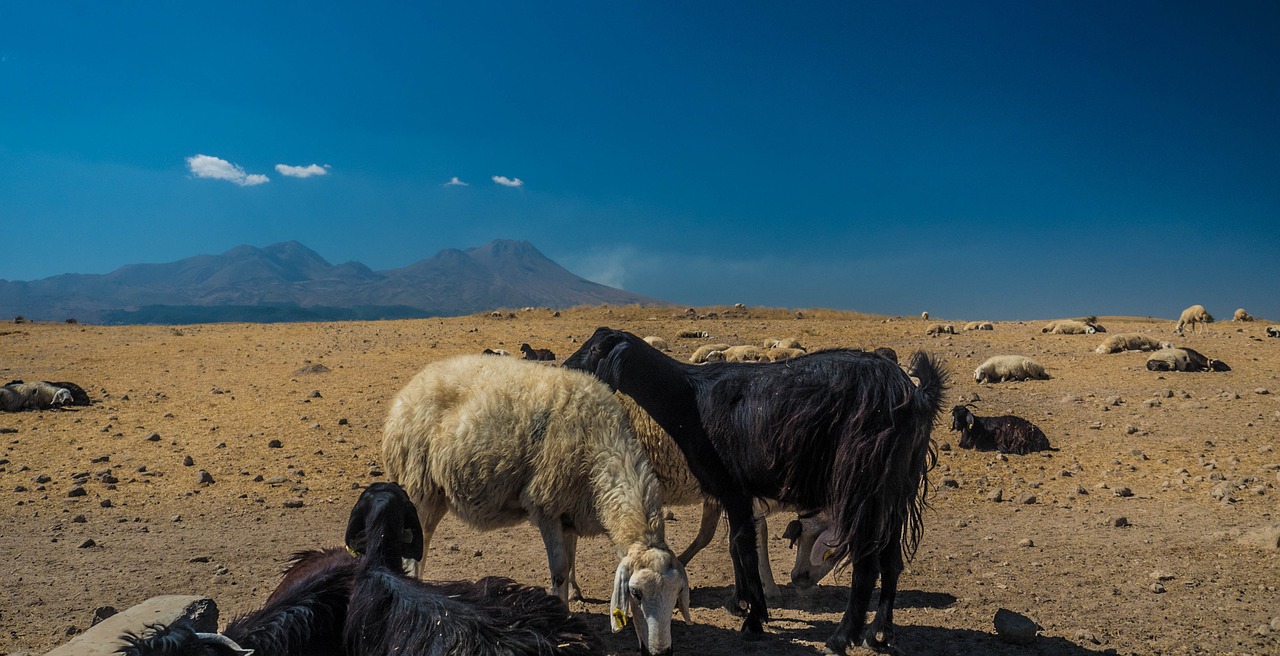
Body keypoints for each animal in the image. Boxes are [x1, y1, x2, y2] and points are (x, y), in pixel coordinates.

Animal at [381, 353, 691, 656]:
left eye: (677, 594)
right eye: (635, 593)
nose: (661, 652)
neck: (601, 447)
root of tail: (407, 391)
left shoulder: (570, 512)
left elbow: (571, 560)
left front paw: (573, 595)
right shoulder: (546, 506)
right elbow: (559, 569)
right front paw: (563, 615)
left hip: (434, 494)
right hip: (418, 486)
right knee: (413, 556)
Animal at [565, 325, 947, 653]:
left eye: (596, 349)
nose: (566, 368)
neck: (689, 397)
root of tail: (914, 394)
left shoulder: (732, 487)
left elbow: (743, 547)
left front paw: (753, 619)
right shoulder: (737, 494)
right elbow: (741, 546)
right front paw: (753, 607)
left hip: (862, 485)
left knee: (868, 566)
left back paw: (841, 638)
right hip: (896, 489)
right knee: (891, 560)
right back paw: (879, 633)